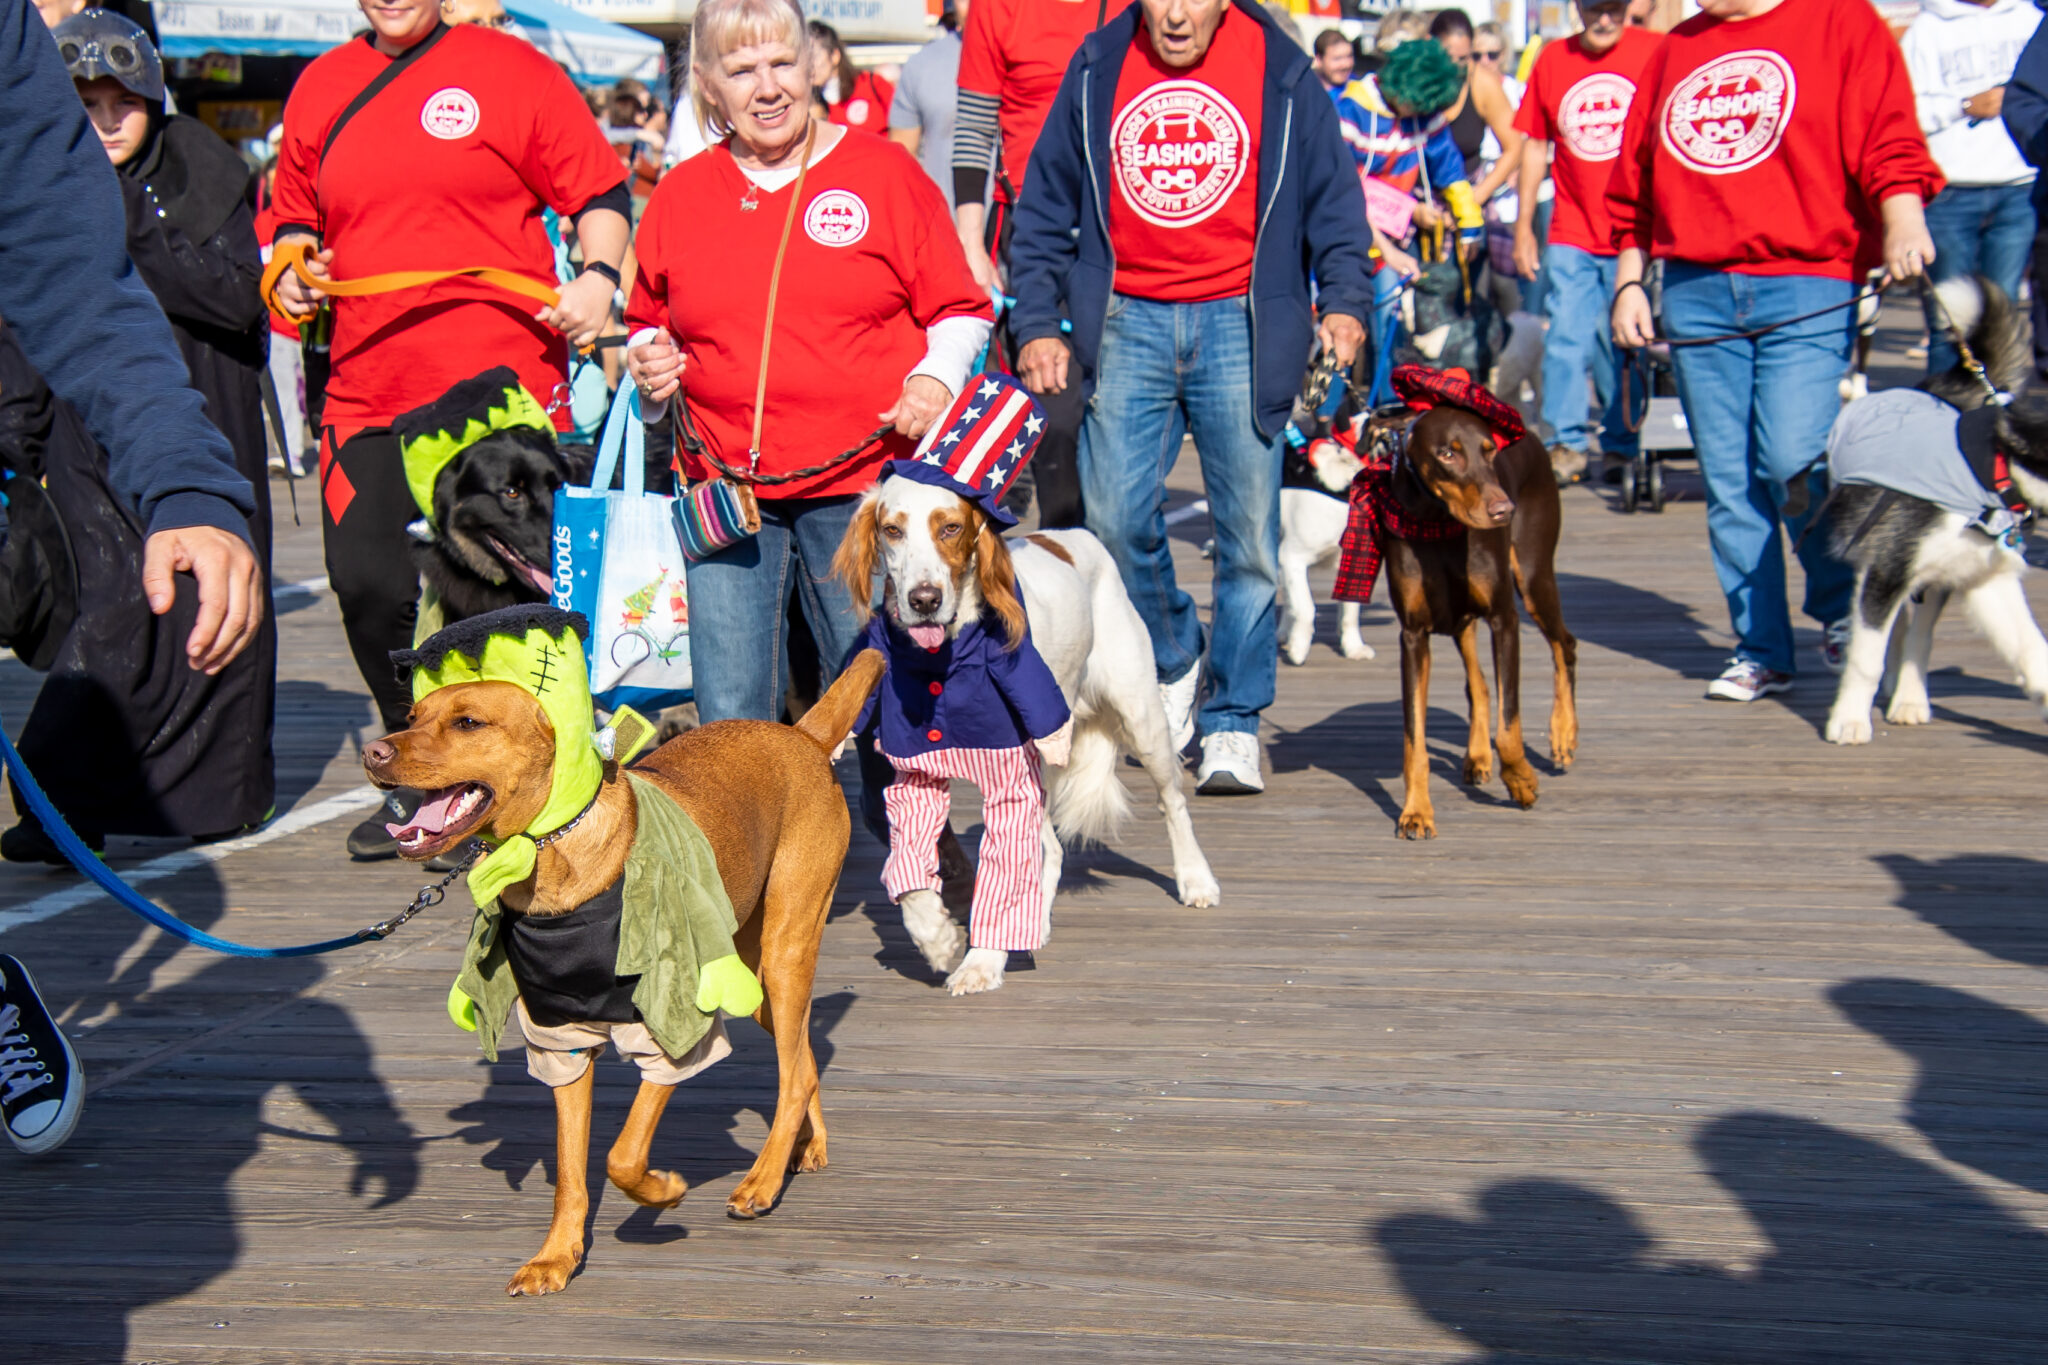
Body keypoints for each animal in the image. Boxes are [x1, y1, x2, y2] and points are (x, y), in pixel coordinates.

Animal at [358, 654, 880, 1301]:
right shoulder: (561, 1041)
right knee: (802, 1058)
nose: (374, 751)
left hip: (786, 950)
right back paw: (806, 1149)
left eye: (468, 722)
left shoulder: (673, 1026)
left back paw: (761, 1181)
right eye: (411, 716)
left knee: (794, 1072)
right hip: (750, 975)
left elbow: (623, 1155)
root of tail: (802, 736)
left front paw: (662, 1191)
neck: (551, 856)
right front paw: (556, 1257)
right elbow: (570, 1171)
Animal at [831, 478, 1212, 994]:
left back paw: (1196, 879)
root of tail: (1073, 536)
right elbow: (910, 873)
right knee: (1050, 848)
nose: (924, 600)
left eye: (951, 528)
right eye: (892, 530)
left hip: (1141, 716)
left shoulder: (1011, 778)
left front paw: (981, 962)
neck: (947, 660)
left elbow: (1005, 870)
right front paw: (938, 938)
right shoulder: (914, 775)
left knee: (1172, 801)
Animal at [1277, 437, 1376, 667]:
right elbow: (1306, 606)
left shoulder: (1355, 559)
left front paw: (1353, 647)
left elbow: (1351, 611)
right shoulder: (1291, 557)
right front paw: (1299, 647)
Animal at [1376, 401, 1581, 839]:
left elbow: (1509, 725)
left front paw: (1521, 780)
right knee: (1480, 683)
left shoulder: (1505, 620)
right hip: (1459, 619)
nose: (1504, 511)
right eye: (1447, 454)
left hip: (1533, 575)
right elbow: (1414, 740)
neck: (1437, 521)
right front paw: (1416, 812)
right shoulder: (1413, 635)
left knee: (1565, 644)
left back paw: (1563, 734)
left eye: (1490, 451)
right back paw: (1478, 756)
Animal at [1826, 278, 2048, 749]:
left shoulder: (1986, 579)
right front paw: (1849, 720)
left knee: (1920, 632)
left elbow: (2033, 650)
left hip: (1938, 576)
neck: (1990, 475)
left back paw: (1909, 696)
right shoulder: (1888, 568)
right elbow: (1867, 656)